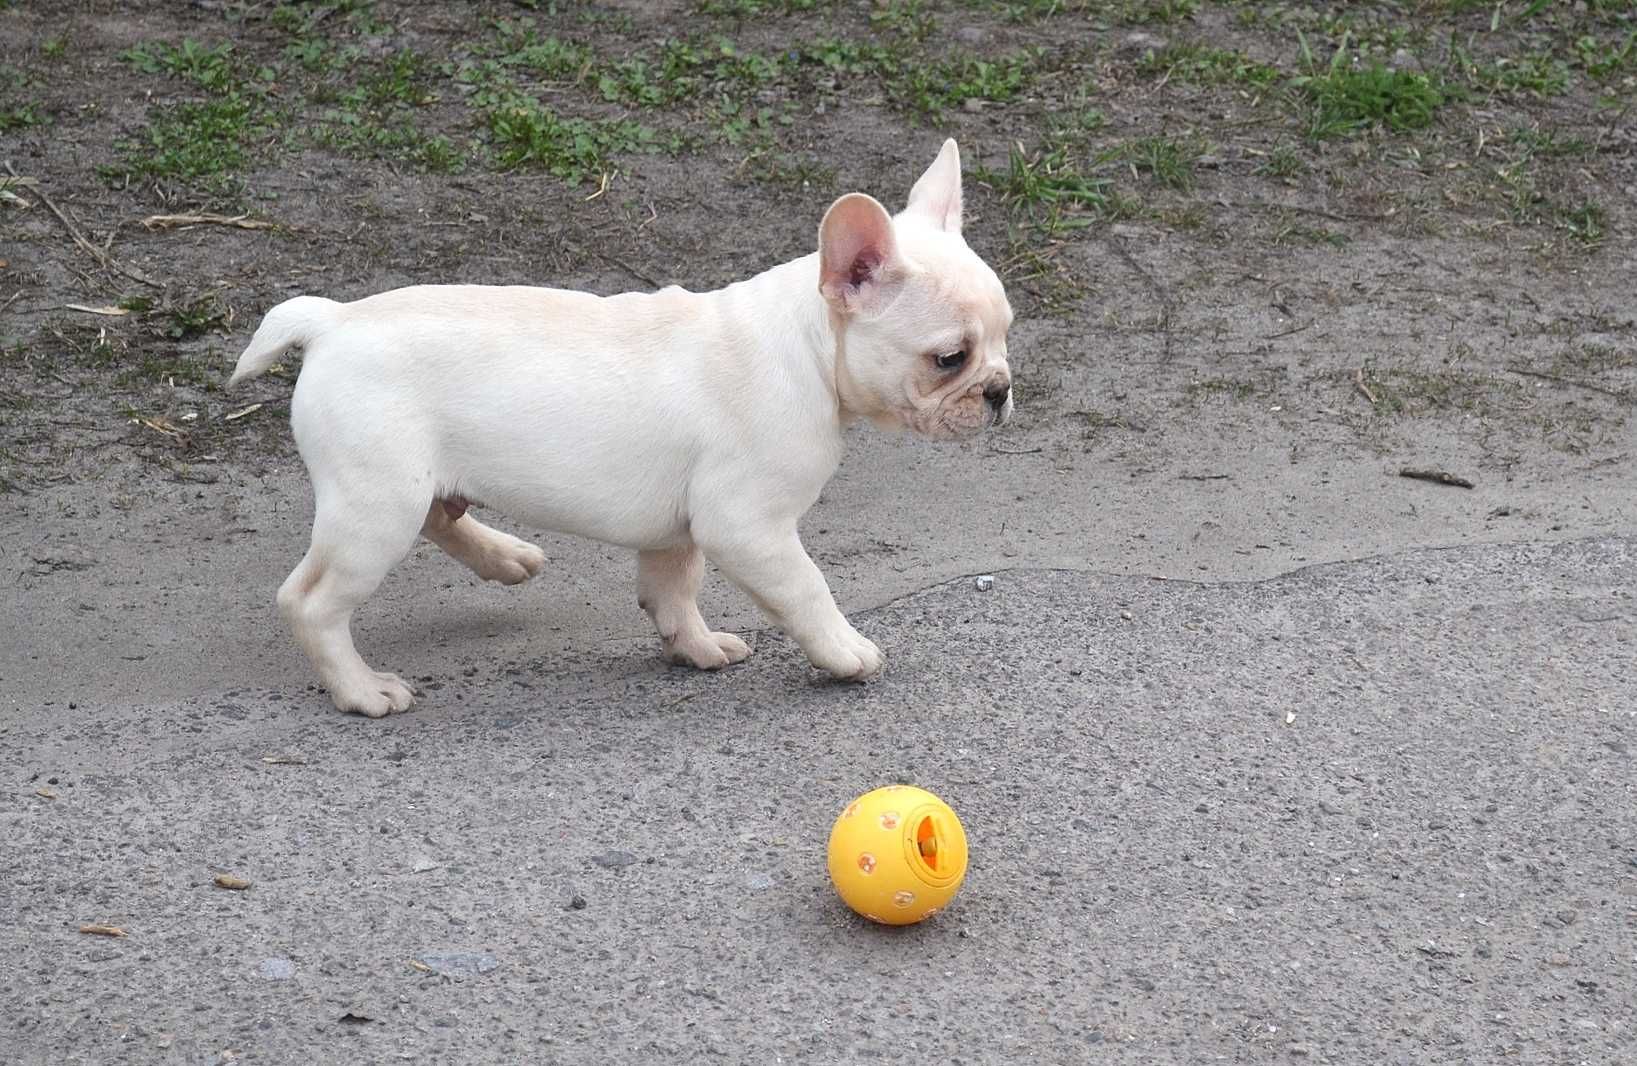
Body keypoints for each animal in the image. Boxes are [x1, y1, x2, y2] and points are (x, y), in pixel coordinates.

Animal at [234, 135, 1008, 717]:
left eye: (1006, 335)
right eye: (949, 358)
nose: (1000, 390)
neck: (809, 347)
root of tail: (333, 320)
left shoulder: (683, 526)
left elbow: (673, 589)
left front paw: (694, 648)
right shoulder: (747, 525)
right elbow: (806, 587)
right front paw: (843, 652)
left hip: (405, 488)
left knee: (438, 515)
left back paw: (505, 557)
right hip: (377, 507)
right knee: (312, 602)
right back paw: (362, 690)